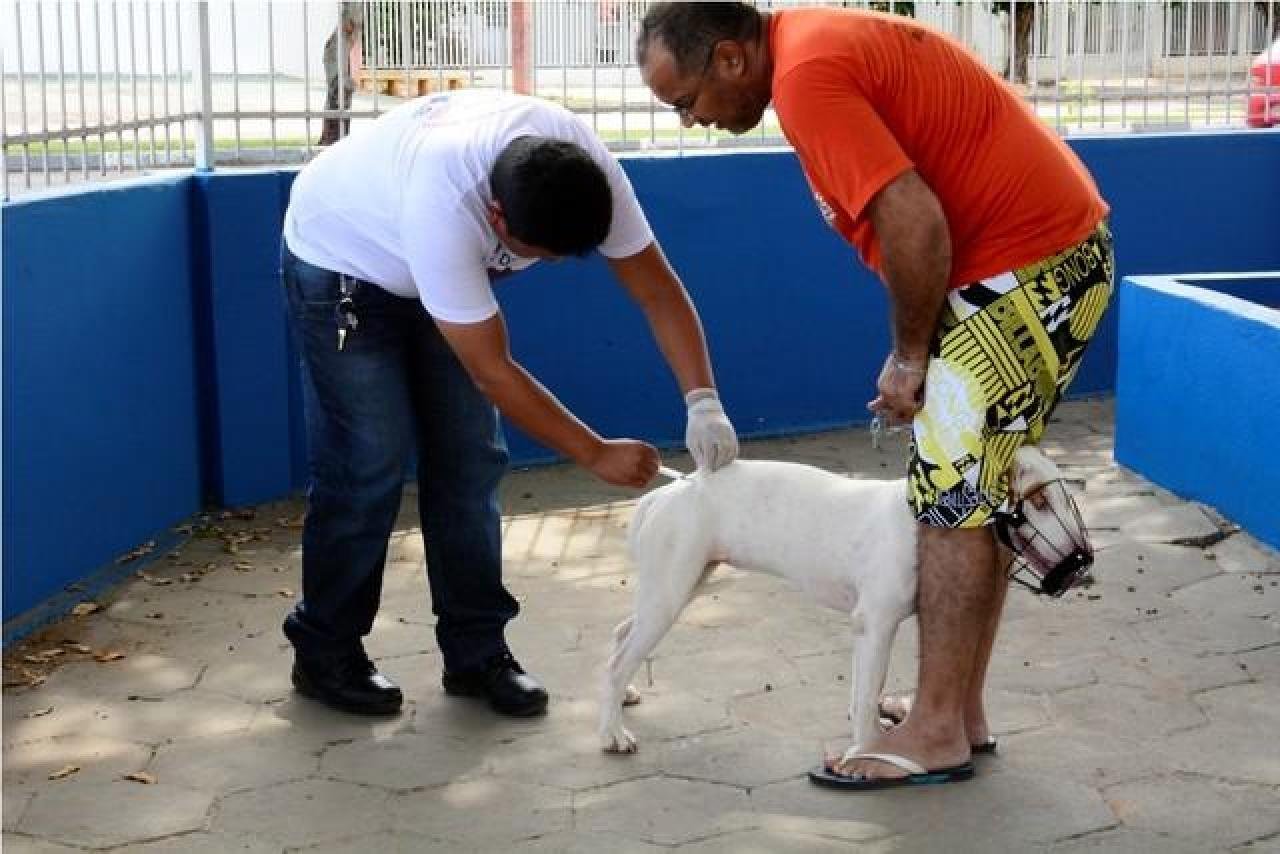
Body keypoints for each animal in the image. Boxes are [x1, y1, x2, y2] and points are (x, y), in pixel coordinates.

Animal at [599, 445, 1080, 757]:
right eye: (1039, 501)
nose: (1083, 558)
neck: (933, 520)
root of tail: (669, 491)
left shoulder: (871, 632)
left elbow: (865, 690)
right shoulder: (876, 624)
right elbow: (866, 697)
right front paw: (867, 752)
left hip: (681, 583)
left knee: (622, 634)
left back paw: (623, 701)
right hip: (670, 594)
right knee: (617, 661)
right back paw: (613, 735)